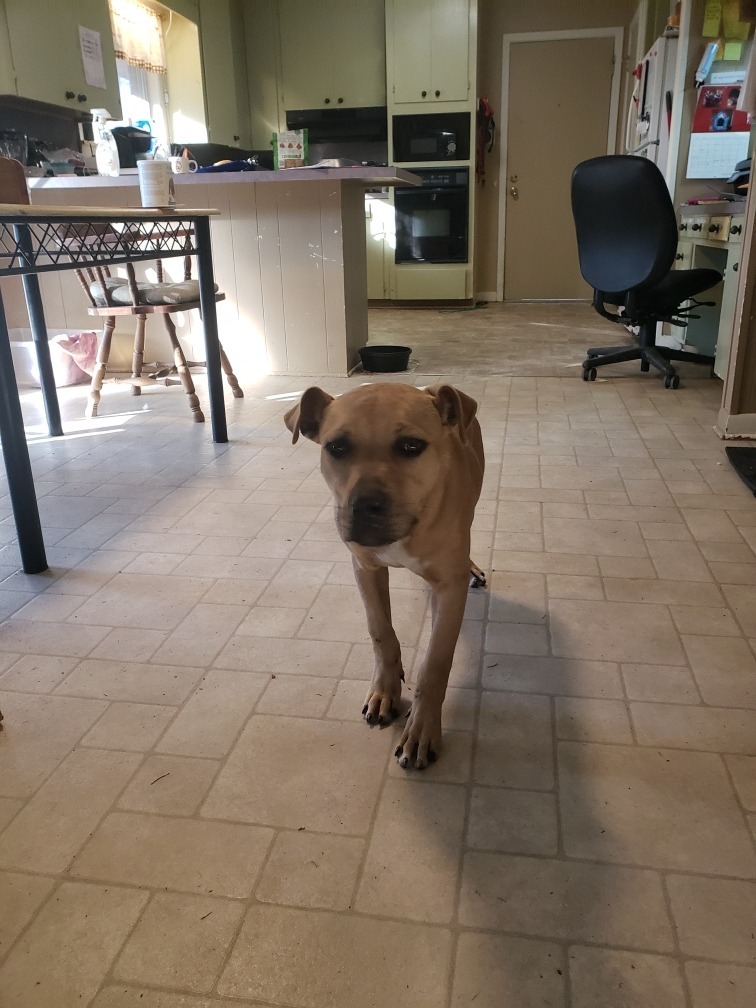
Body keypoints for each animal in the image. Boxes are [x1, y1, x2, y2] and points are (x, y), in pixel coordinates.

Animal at [284, 381, 485, 766]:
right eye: (337, 447)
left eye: (411, 446)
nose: (365, 506)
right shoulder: (366, 570)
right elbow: (380, 633)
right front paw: (384, 691)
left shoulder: (449, 590)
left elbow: (435, 664)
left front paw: (421, 729)